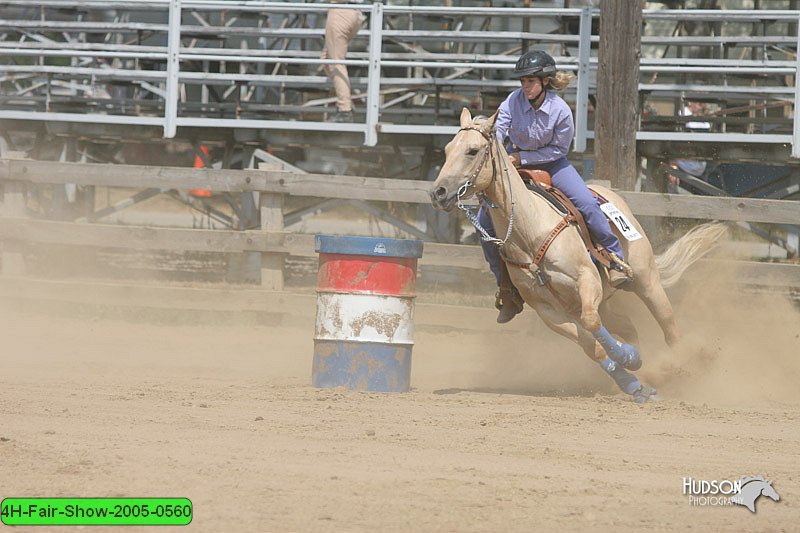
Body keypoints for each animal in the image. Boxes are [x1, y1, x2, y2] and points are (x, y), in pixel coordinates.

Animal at [428, 108, 728, 402]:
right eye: (448, 149)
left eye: (473, 151)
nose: (438, 192)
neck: (530, 231)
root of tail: (609, 193)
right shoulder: (548, 311)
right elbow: (590, 345)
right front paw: (633, 380)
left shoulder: (587, 280)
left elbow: (591, 323)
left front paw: (625, 357)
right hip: (602, 301)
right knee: (628, 327)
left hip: (645, 280)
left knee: (668, 324)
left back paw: (684, 364)